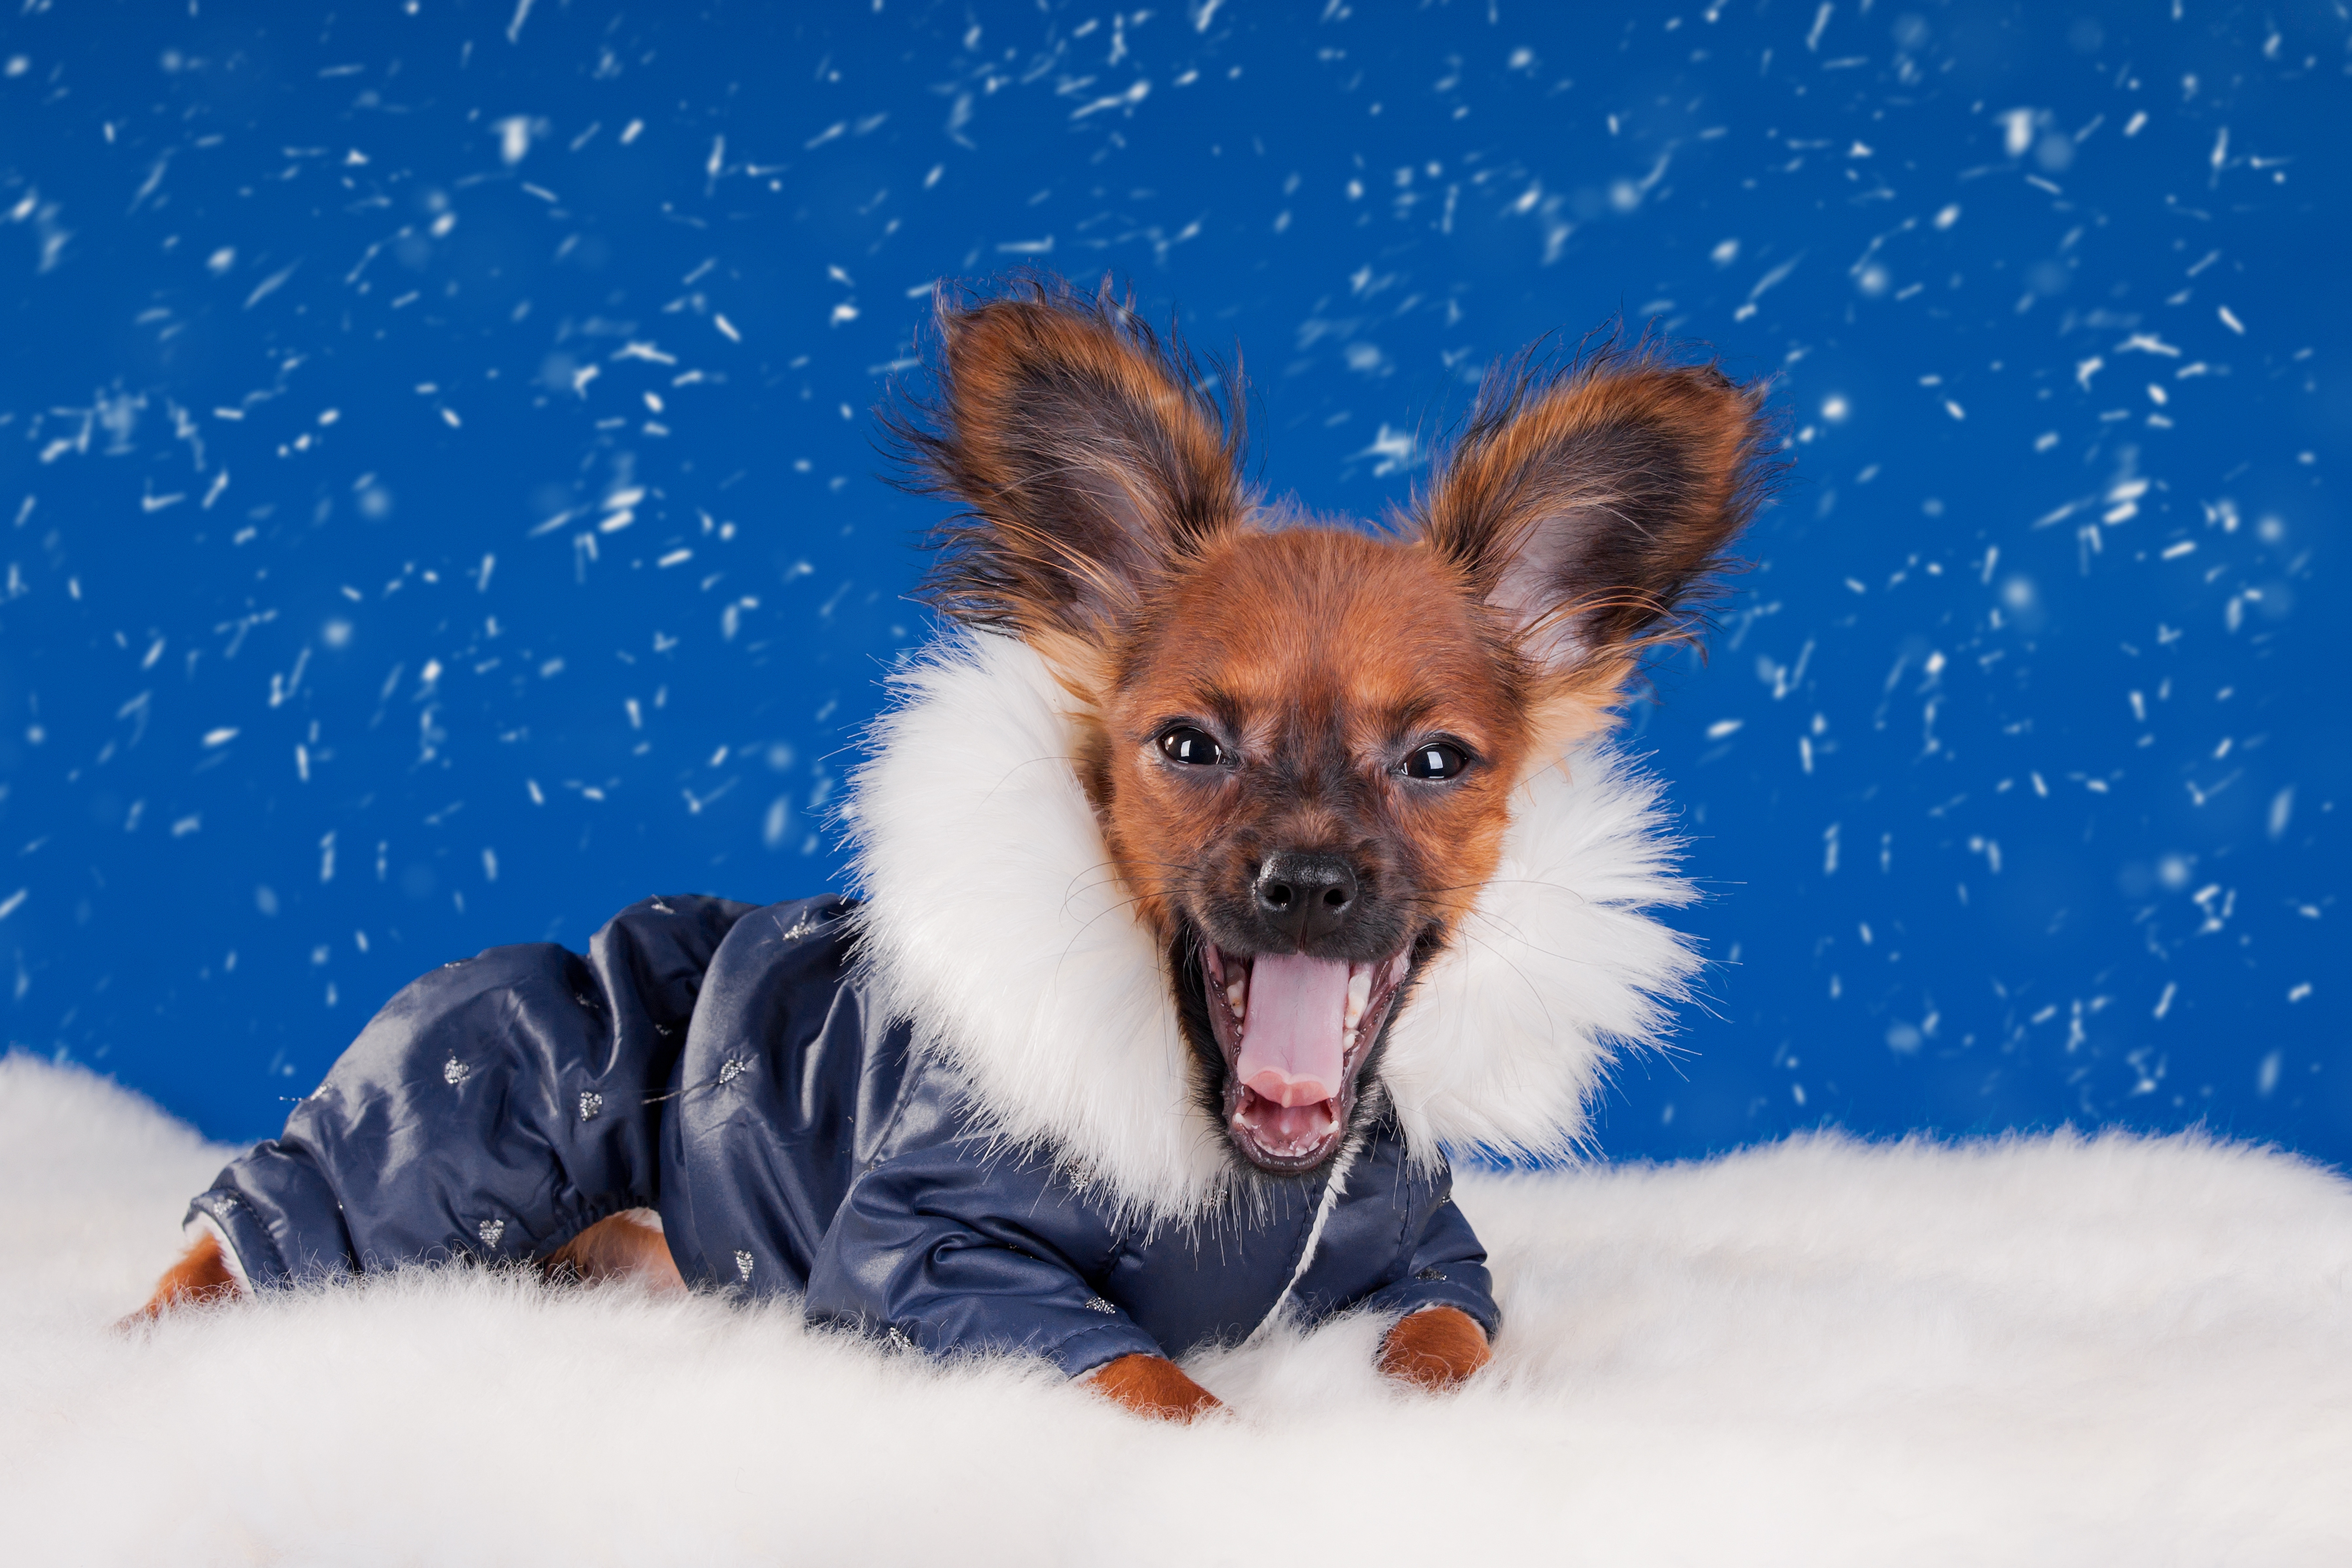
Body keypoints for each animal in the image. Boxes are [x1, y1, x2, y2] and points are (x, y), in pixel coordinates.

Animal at [133, 278, 1769, 1420]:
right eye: (1189, 747)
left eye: (1436, 763)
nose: (1305, 883)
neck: (1234, 1172)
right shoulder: (927, 1257)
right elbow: (1156, 1379)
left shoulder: (1432, 1256)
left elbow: (1444, 1339)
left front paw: (1408, 1411)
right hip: (496, 1090)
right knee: (245, 1240)